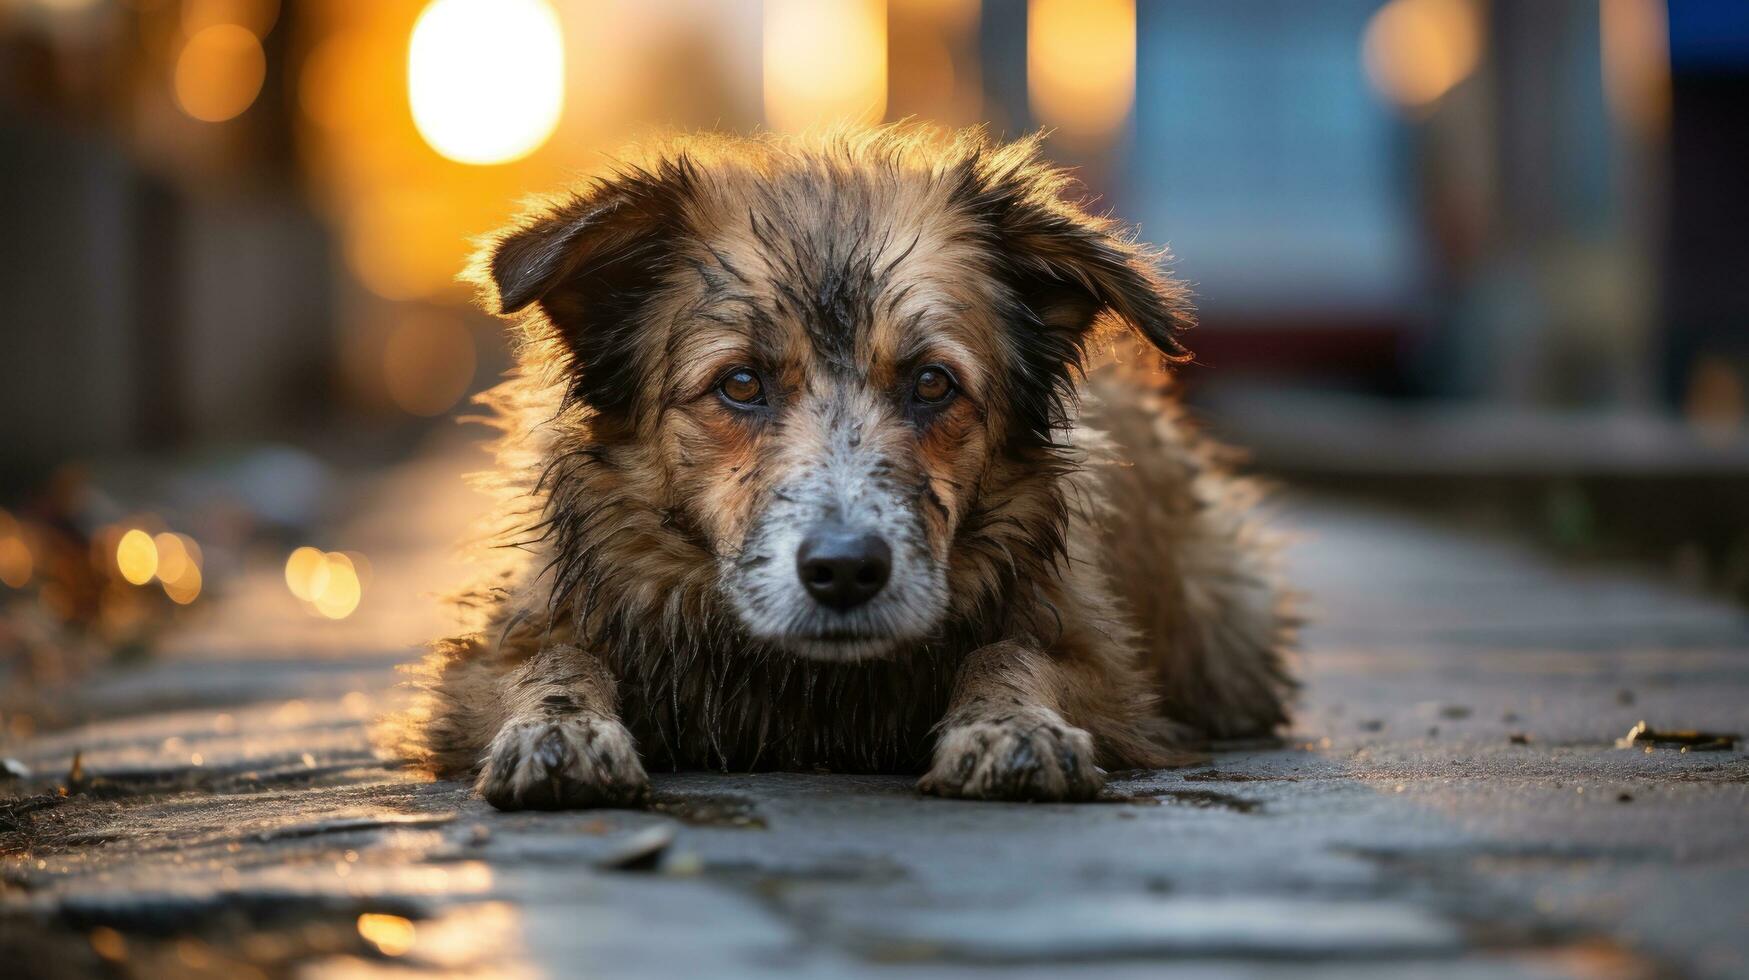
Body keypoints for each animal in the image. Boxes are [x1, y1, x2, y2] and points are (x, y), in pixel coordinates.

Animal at [402, 126, 1294, 808]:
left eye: (932, 383)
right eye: (739, 384)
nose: (843, 572)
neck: (803, 691)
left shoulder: (1107, 672)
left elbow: (1010, 654)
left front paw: (1009, 724)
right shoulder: (479, 665)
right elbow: (556, 659)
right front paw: (559, 728)